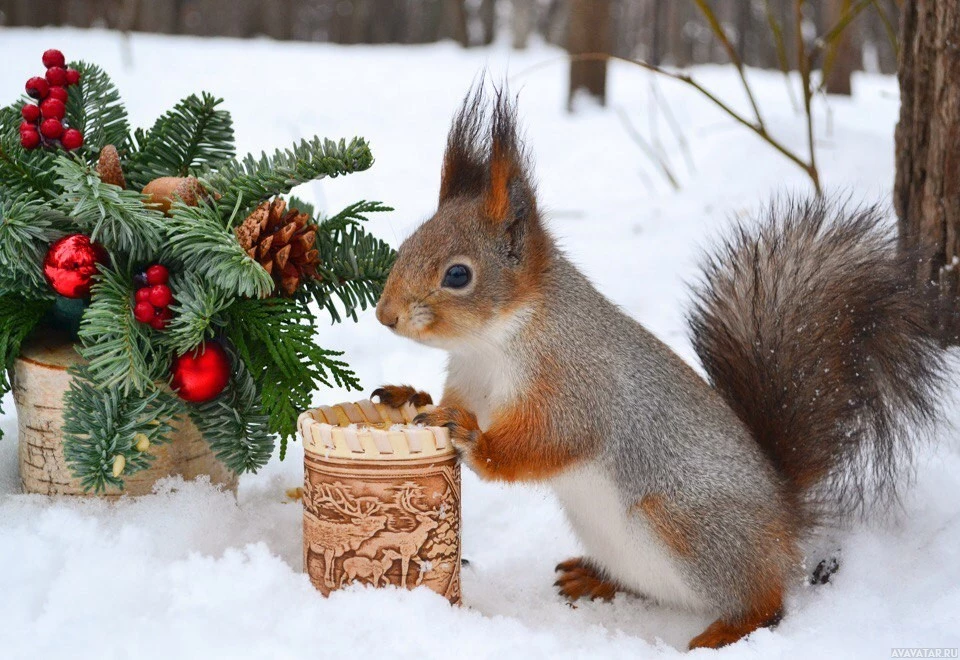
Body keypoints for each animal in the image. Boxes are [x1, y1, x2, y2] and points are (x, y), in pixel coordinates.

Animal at [370, 87, 944, 648]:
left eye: (458, 275)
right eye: (410, 242)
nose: (385, 315)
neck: (491, 345)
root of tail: (786, 520)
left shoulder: (577, 384)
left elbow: (547, 441)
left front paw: (470, 436)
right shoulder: (469, 380)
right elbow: (450, 402)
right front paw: (411, 397)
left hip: (690, 527)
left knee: (766, 602)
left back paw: (725, 631)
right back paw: (594, 578)